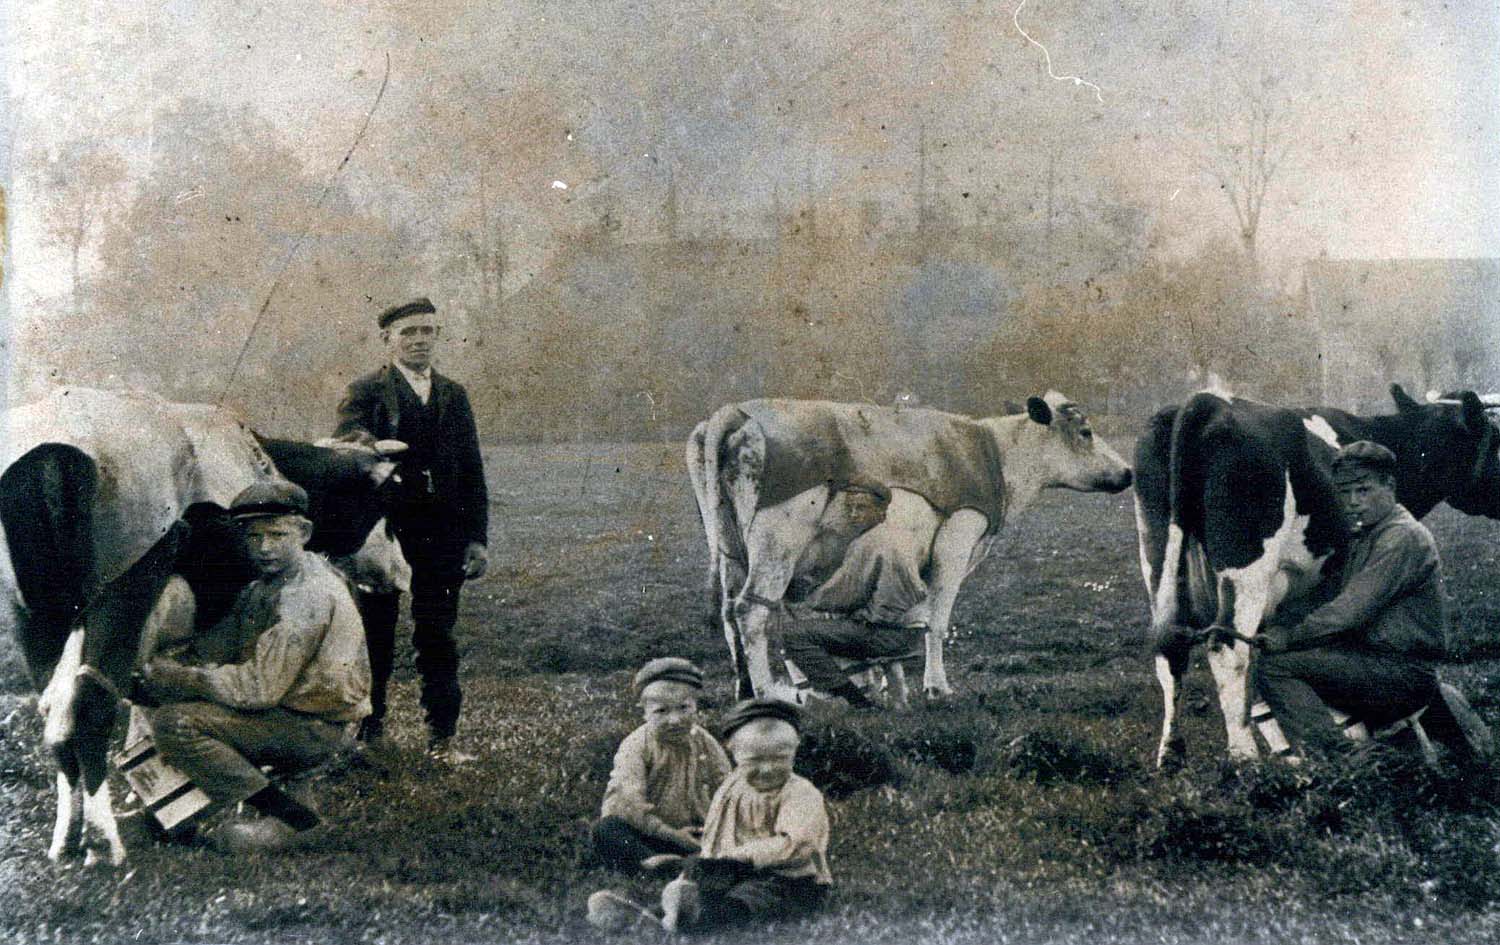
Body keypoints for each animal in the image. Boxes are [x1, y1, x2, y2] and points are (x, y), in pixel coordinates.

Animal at [0, 387, 402, 864]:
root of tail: (54, 444)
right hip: (124, 593)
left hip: (35, 618)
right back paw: (105, 842)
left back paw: (68, 838)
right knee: (91, 706)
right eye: (386, 505)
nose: (400, 573)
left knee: (56, 716)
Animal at [687, 393, 1128, 705]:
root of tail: (735, 414)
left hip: (728, 545)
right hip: (777, 540)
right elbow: (935, 619)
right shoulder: (957, 536)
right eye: (1085, 432)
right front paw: (936, 687)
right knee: (751, 611)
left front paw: (882, 683)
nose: (1127, 472)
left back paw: (746, 690)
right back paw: (766, 693)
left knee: (729, 613)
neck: (997, 455)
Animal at [1134, 381, 1500, 768]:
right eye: (1497, 439)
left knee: (1171, 651)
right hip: (1246, 567)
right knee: (1228, 648)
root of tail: (1205, 402)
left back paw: (1171, 754)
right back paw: (1244, 759)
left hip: (1158, 560)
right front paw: (1354, 733)